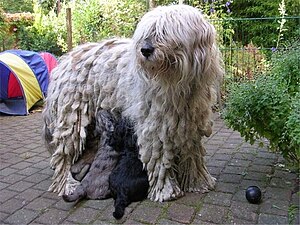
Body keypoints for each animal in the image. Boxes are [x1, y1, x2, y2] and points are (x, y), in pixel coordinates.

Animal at [43, 3, 224, 201]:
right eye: (147, 32)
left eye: (165, 32)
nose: (145, 50)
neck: (176, 82)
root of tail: (65, 60)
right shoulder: (155, 126)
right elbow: (160, 159)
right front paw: (166, 190)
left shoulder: (190, 124)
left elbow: (192, 153)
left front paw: (197, 182)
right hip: (72, 119)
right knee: (64, 157)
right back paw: (67, 184)